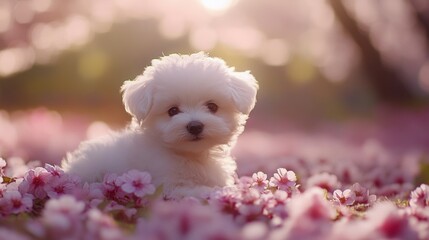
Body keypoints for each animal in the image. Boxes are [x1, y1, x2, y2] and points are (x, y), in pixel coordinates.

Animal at [62, 53, 258, 198]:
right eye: (172, 111)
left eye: (212, 106)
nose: (195, 126)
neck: (190, 156)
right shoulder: (169, 185)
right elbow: (197, 190)